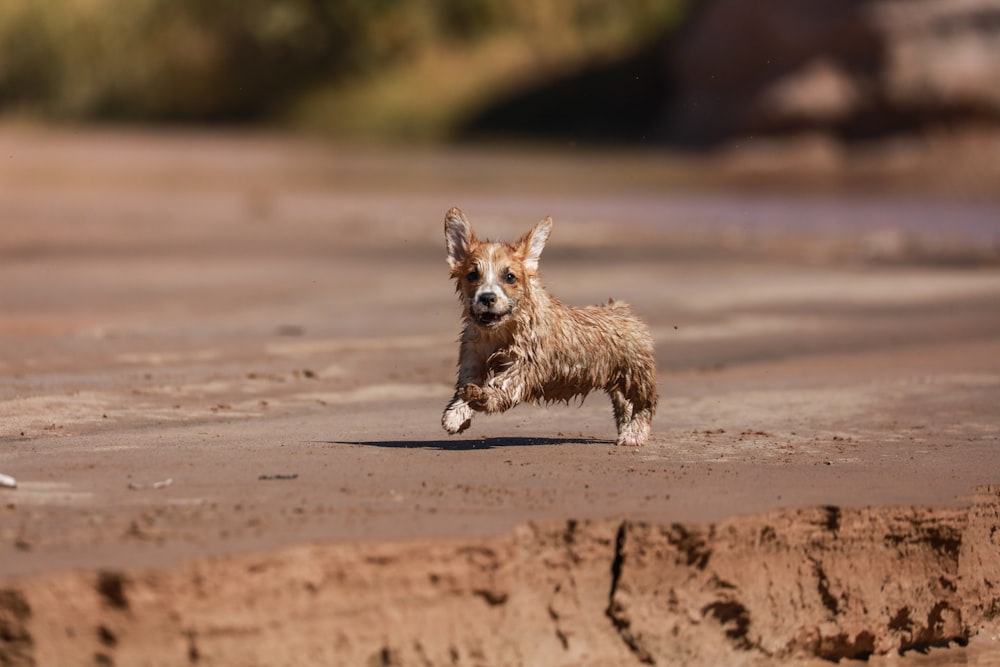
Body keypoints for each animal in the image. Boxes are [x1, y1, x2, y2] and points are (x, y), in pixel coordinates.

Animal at [442, 206, 660, 446]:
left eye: (510, 277)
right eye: (472, 275)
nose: (487, 297)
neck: (502, 330)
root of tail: (622, 310)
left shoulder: (527, 363)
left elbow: (504, 385)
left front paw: (481, 397)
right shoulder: (472, 355)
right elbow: (466, 381)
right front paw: (456, 415)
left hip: (636, 373)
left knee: (646, 403)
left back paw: (634, 433)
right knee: (624, 403)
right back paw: (625, 428)